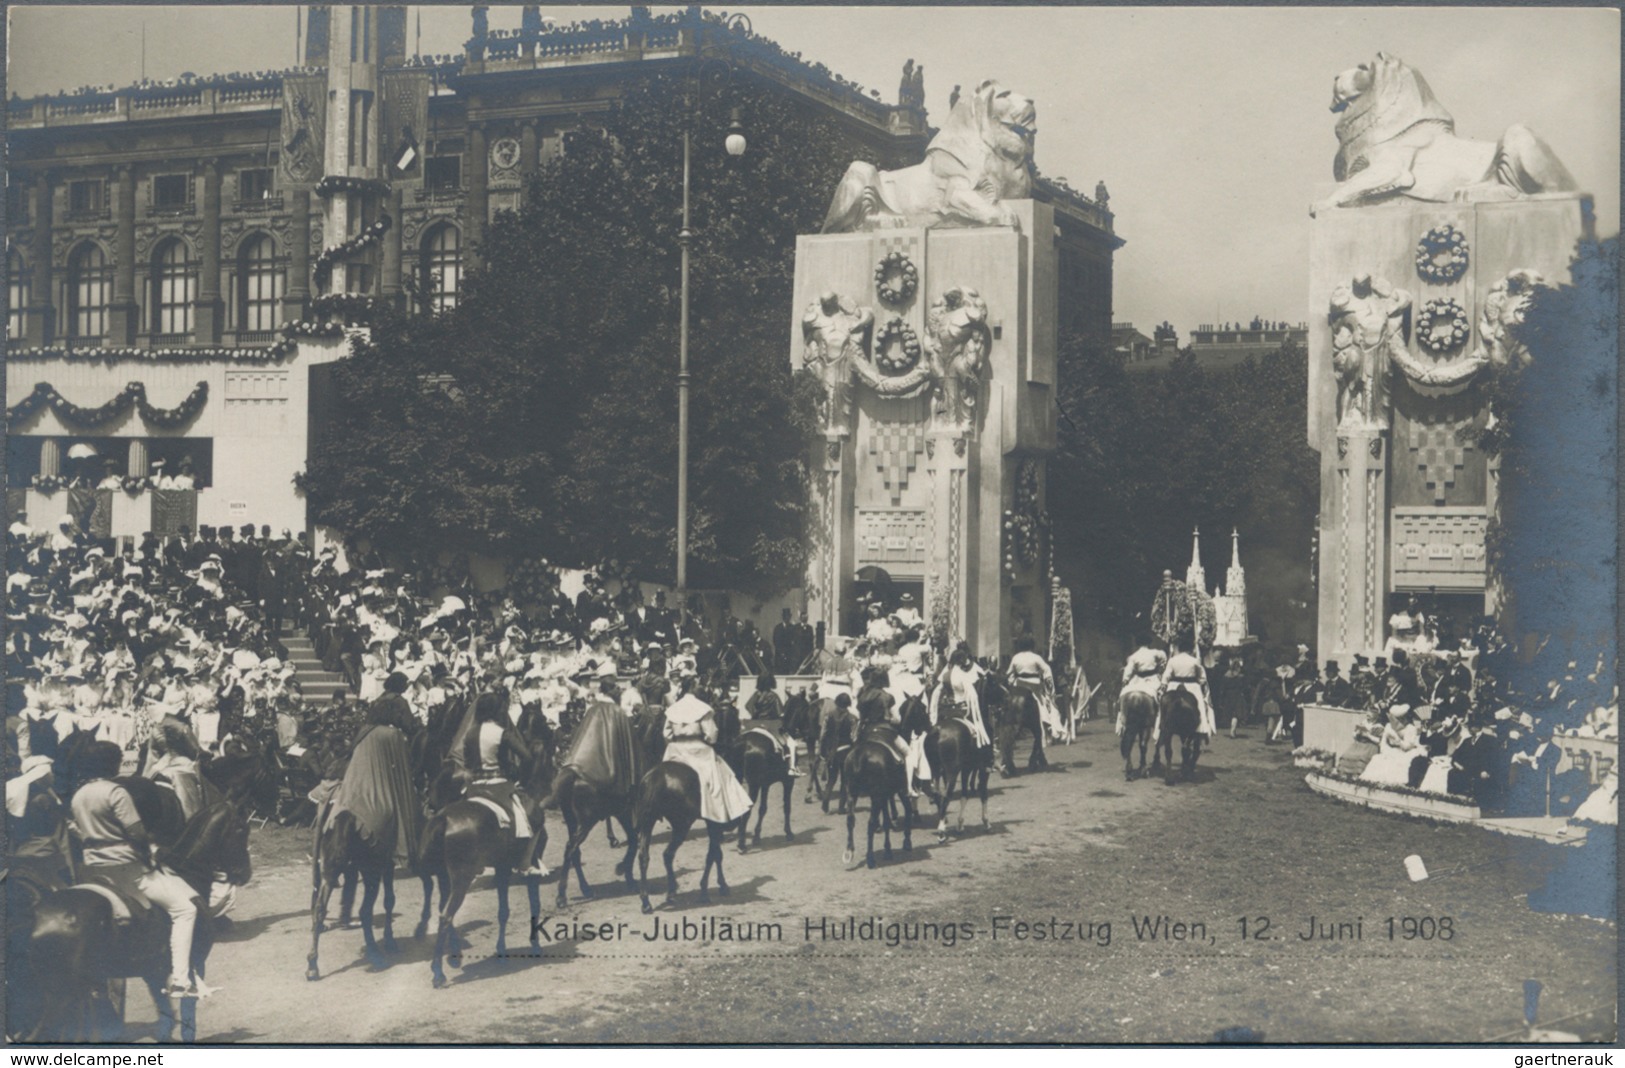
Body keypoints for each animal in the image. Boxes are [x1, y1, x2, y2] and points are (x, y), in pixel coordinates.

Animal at [23, 799, 253, 1040]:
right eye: (241, 829)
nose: (245, 874)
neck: (186, 874)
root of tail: (38, 916)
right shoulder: (196, 962)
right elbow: (187, 1017)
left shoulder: (152, 972)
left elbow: (165, 1018)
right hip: (64, 994)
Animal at [412, 728, 552, 988]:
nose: (551, 789)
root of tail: (443, 818)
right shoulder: (528, 869)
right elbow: (532, 905)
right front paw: (534, 945)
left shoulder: (501, 868)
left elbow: (503, 910)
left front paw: (502, 950)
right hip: (462, 878)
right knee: (446, 916)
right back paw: (438, 972)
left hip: (446, 876)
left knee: (443, 910)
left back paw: (450, 958)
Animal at [630, 757, 741, 910]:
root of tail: (656, 777)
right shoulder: (713, 823)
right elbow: (714, 855)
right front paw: (713, 889)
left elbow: (715, 854)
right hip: (682, 824)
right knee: (668, 853)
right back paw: (668, 893)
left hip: (649, 822)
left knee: (646, 857)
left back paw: (649, 900)